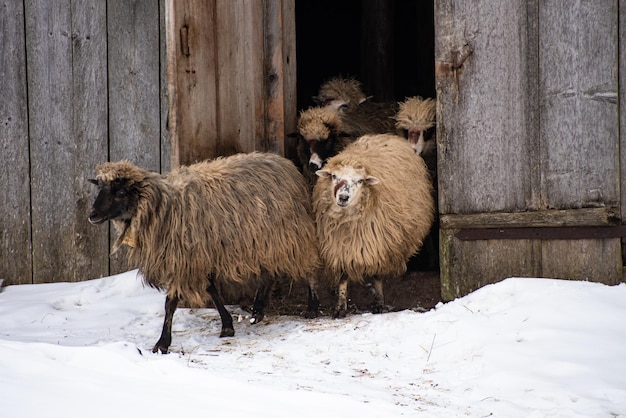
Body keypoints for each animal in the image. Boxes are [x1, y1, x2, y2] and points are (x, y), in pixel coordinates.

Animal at [86, 155, 322, 354]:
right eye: (101, 189)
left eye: (121, 192)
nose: (92, 215)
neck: (163, 206)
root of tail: (284, 163)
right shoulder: (198, 258)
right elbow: (211, 289)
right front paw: (227, 325)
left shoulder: (183, 260)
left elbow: (171, 303)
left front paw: (162, 343)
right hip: (264, 240)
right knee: (268, 274)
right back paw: (258, 310)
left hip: (291, 234)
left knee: (309, 268)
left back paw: (312, 307)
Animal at [312, 134, 434, 316]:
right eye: (334, 176)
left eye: (360, 181)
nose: (343, 197)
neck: (347, 222)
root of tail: (386, 136)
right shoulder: (339, 247)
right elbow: (343, 277)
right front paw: (340, 307)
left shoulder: (379, 245)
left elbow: (377, 276)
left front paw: (379, 303)